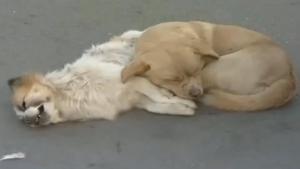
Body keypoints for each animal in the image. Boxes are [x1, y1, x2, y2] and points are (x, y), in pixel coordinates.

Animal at [7, 30, 197, 127]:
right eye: (25, 121)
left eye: (23, 104)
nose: (30, 121)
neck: (67, 95)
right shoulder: (135, 98)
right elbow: (158, 106)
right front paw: (183, 108)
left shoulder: (131, 80)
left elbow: (160, 96)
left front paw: (181, 100)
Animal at [120, 21, 296, 111]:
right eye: (173, 80)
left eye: (197, 70)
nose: (196, 93)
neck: (163, 38)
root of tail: (289, 78)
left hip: (215, 69)